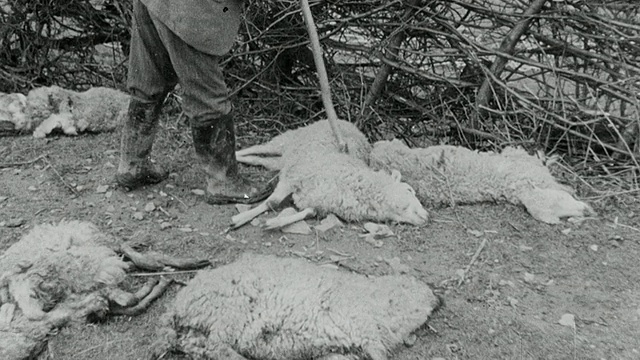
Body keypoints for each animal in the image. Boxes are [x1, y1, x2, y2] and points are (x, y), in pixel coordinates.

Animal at [149, 253, 440, 360]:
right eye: (412, 286)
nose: (439, 299)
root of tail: (178, 304)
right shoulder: (361, 324)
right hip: (231, 307)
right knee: (216, 346)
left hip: (198, 328)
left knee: (197, 346)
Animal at [230, 150, 430, 229]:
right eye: (409, 190)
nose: (427, 216)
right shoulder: (292, 178)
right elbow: (272, 202)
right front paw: (240, 219)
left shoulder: (321, 204)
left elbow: (307, 213)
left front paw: (275, 222)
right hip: (288, 165)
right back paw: (237, 153)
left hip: (279, 164)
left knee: (261, 160)